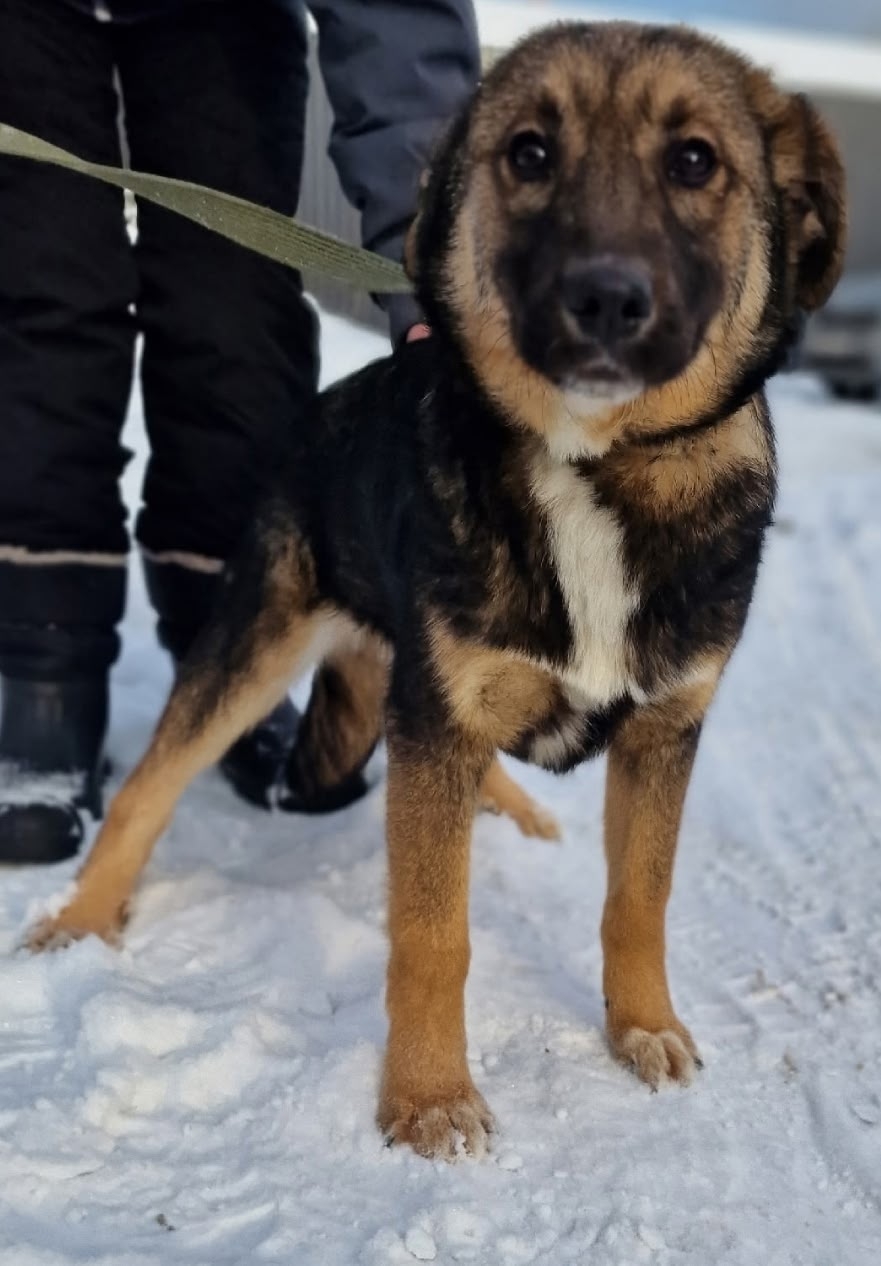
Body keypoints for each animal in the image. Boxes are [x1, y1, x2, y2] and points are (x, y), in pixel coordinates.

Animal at [29, 22, 845, 1161]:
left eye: (695, 161)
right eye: (528, 152)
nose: (603, 299)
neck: (588, 463)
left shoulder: (661, 727)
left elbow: (638, 899)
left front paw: (643, 1027)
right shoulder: (435, 719)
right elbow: (431, 933)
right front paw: (425, 1100)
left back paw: (515, 811)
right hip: (265, 635)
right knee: (152, 780)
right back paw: (81, 916)